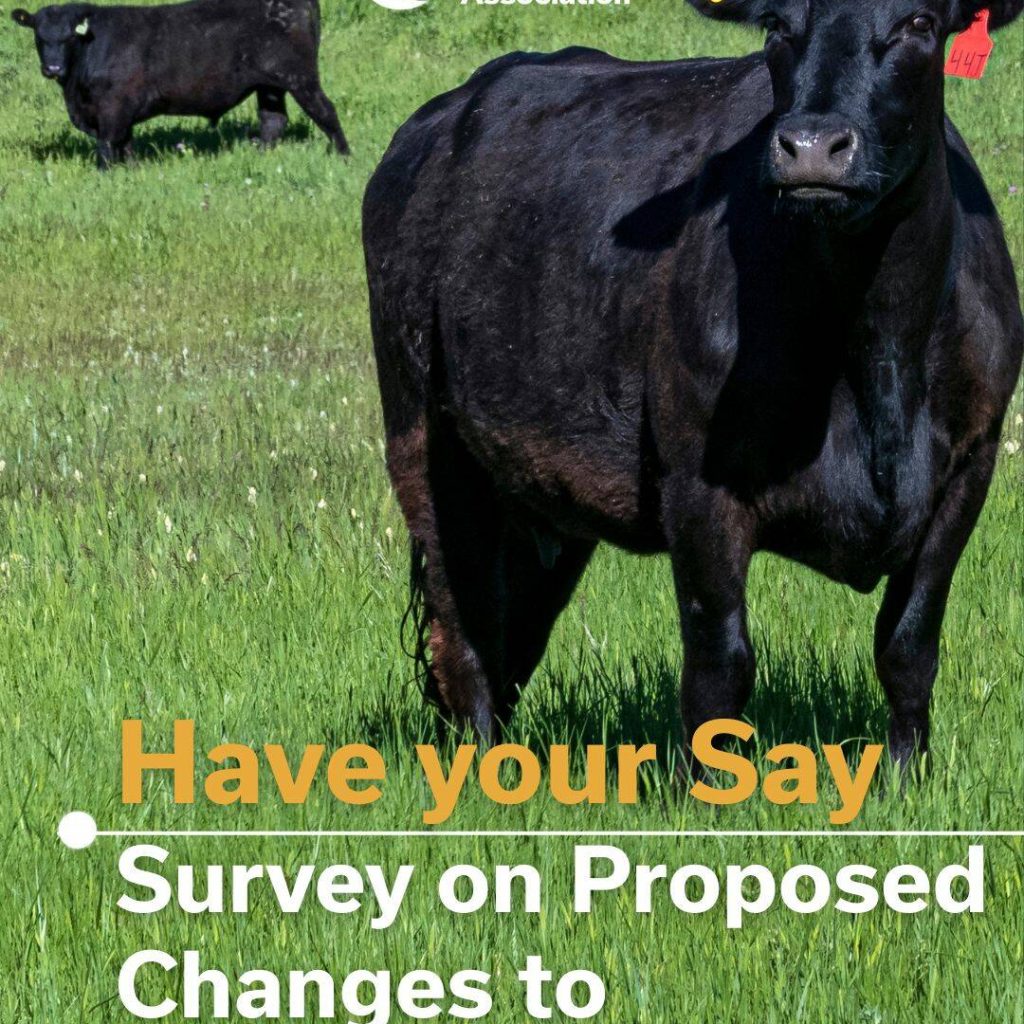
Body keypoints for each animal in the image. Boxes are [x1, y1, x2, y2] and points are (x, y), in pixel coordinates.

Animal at [10, 0, 348, 167]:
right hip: (270, 86)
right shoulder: (118, 111)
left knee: (326, 112)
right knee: (273, 121)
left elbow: (107, 145)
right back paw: (261, 155)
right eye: (39, 36)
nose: (52, 67)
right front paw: (132, 171)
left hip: (300, 77)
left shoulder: (113, 106)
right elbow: (125, 145)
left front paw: (104, 175)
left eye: (70, 36)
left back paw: (344, 155)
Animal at [363, 0, 1023, 767]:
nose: (811, 146)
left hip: (535, 481)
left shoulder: (969, 468)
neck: (877, 358)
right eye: (775, 25)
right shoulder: (698, 485)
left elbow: (908, 648)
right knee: (462, 621)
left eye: (920, 22)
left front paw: (902, 776)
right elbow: (719, 668)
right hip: (423, 436)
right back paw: (478, 764)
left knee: (514, 628)